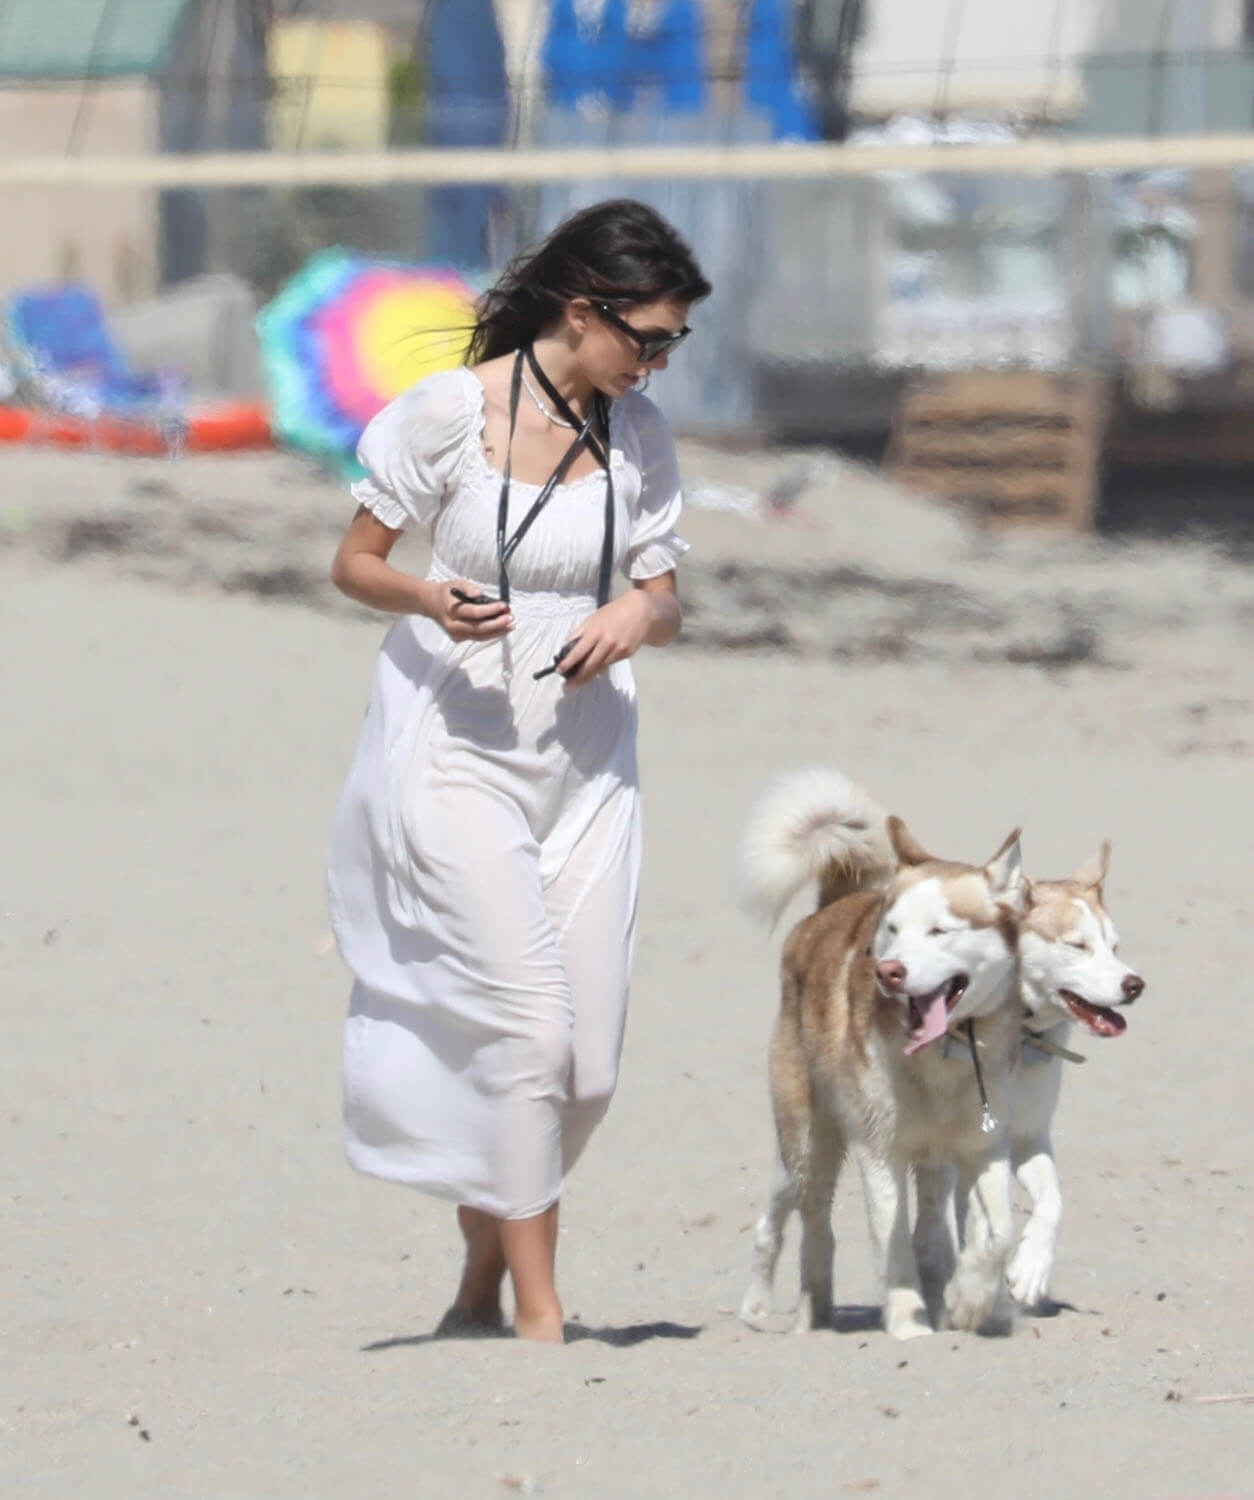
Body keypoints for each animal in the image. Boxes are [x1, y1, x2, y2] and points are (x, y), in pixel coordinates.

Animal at [741, 774, 1026, 1338]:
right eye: (892, 928)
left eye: (940, 930)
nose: (888, 972)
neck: (943, 1055)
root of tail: (826, 910)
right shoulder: (879, 1149)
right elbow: (891, 1246)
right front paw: (909, 1324)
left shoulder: (983, 1144)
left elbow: (999, 1235)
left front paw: (968, 1301)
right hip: (808, 1140)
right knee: (809, 1225)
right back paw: (798, 1313)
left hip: (924, 1161)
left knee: (928, 1225)